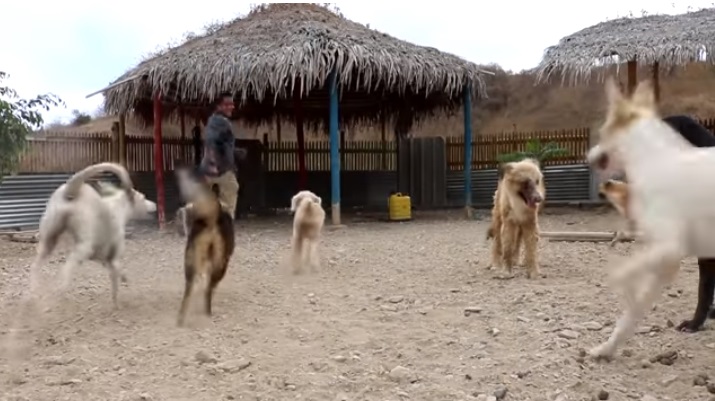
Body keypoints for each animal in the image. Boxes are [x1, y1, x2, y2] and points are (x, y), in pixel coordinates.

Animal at [29, 162, 157, 306]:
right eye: (144, 197)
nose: (155, 204)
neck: (118, 207)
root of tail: (72, 189)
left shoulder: (104, 260)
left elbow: (120, 274)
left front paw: (124, 281)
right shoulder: (114, 260)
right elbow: (115, 285)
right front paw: (116, 303)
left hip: (49, 239)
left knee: (35, 267)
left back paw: (32, 295)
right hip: (83, 247)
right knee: (65, 272)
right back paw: (54, 296)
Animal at [178, 175, 236, 324]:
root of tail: (210, 222)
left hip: (191, 259)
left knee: (189, 290)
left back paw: (181, 318)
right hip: (220, 263)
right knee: (208, 289)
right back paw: (207, 312)